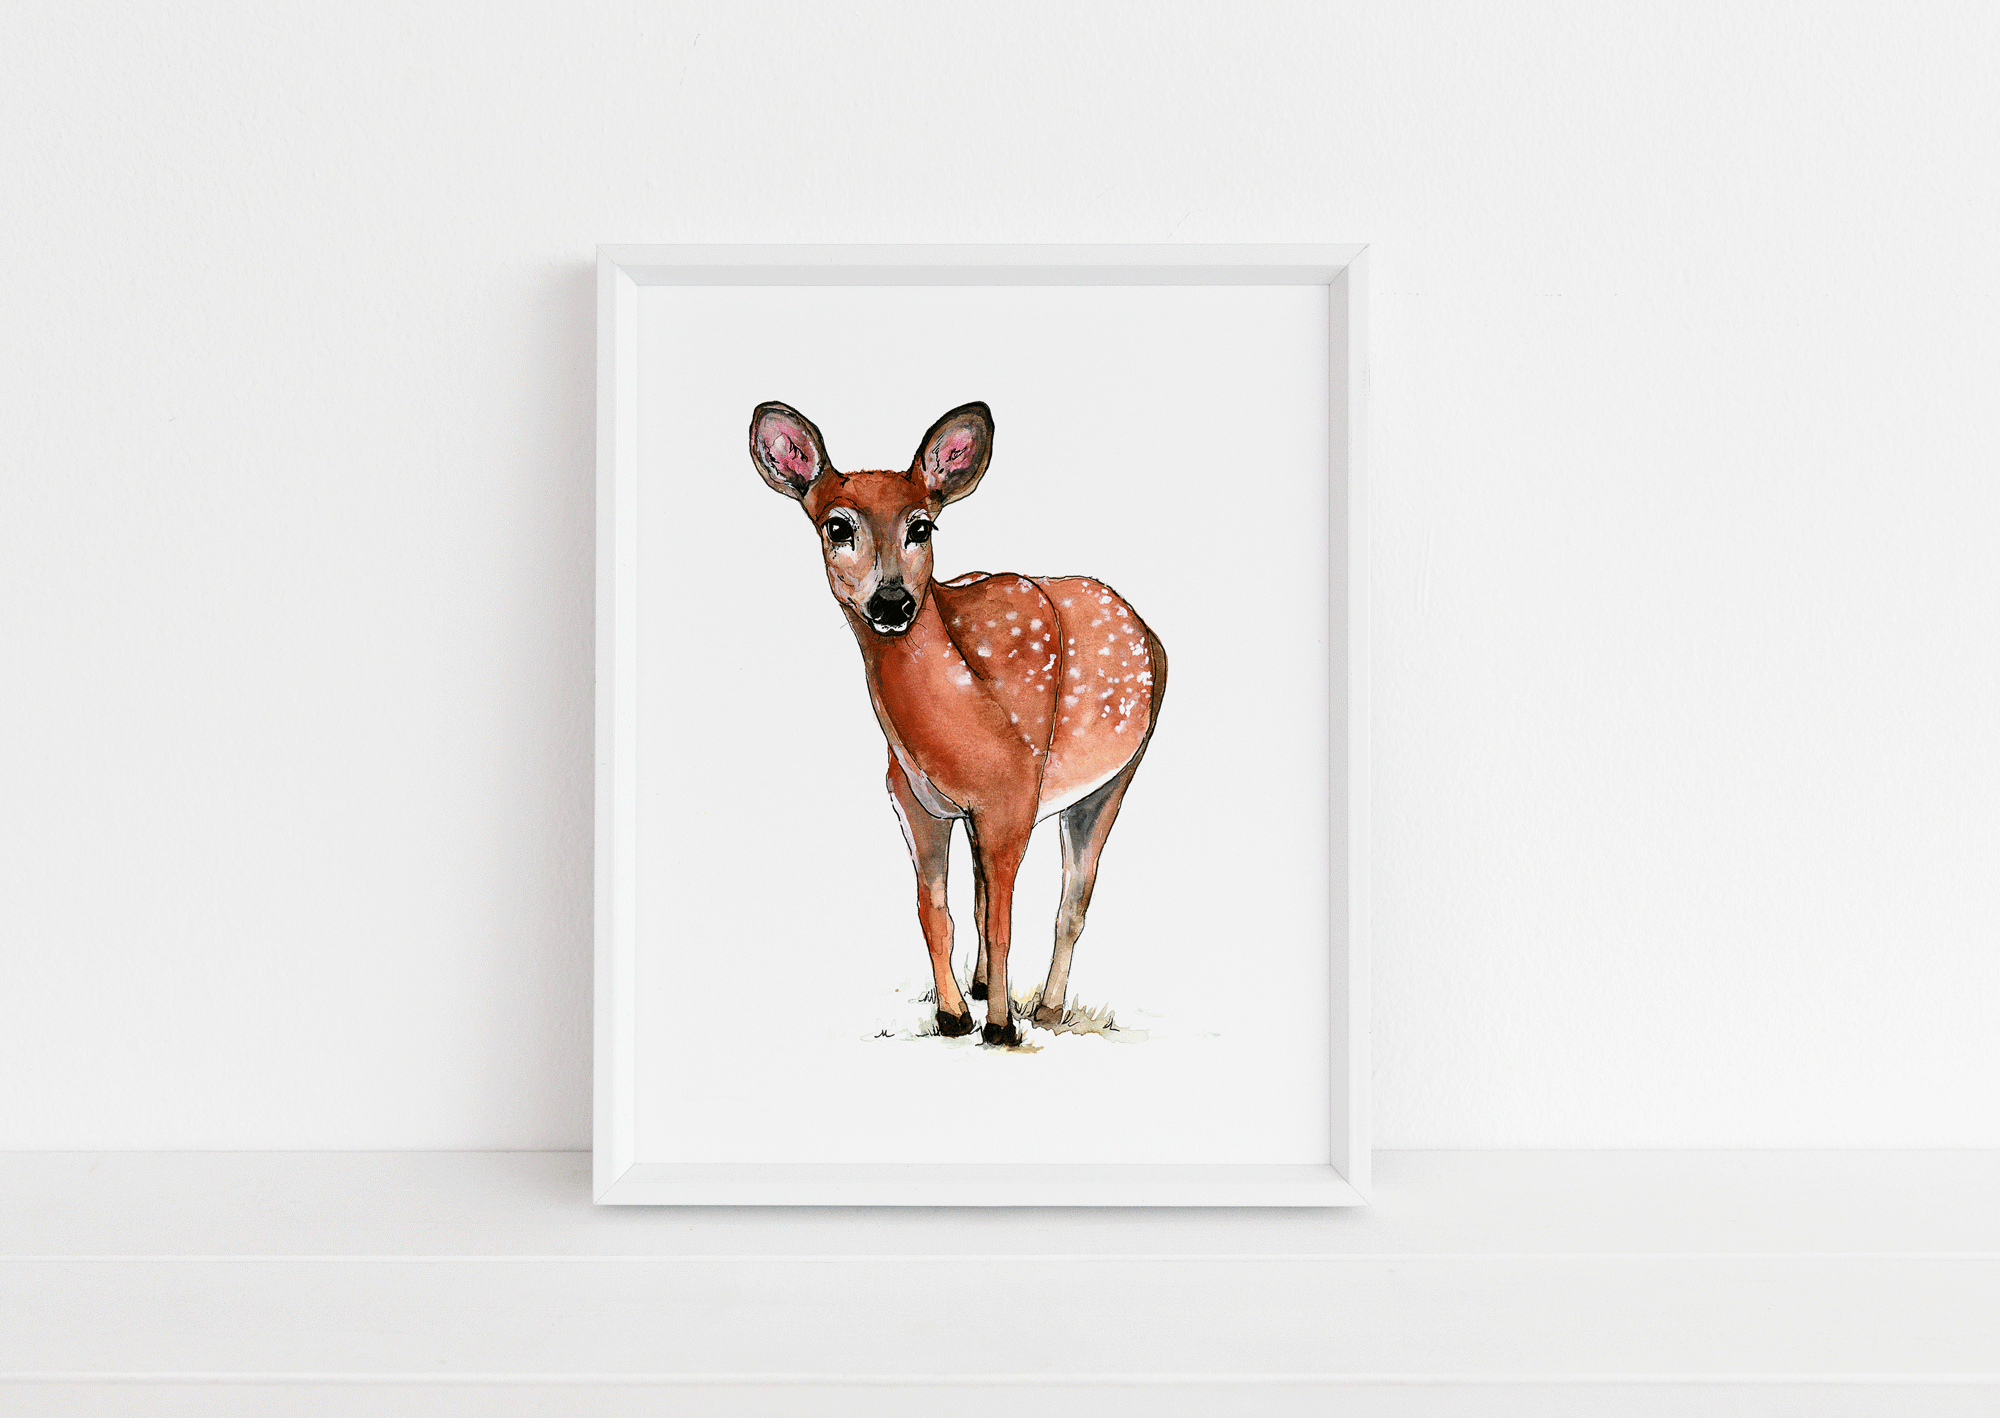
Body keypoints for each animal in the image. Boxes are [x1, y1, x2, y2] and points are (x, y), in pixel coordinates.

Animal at [749, 401, 1167, 1046]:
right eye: (836, 526)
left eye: (922, 526)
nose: (892, 602)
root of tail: (1145, 627)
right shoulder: (914, 799)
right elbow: (936, 911)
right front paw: (953, 1017)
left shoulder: (1014, 795)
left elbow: (1003, 921)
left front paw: (999, 1027)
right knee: (985, 897)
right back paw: (981, 988)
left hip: (1117, 774)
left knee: (1073, 900)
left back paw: (1046, 1010)